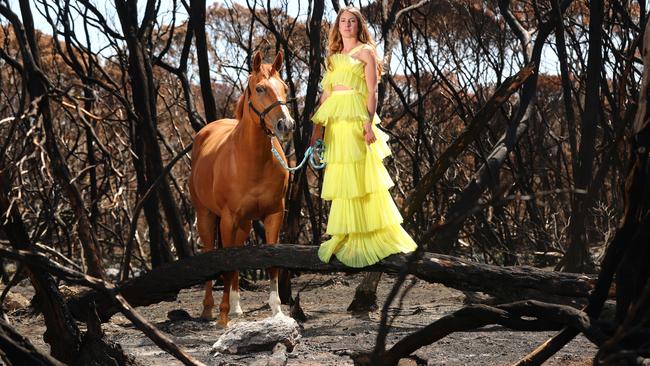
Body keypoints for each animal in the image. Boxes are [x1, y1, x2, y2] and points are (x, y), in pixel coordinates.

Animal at [189, 50, 294, 326]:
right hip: (207, 216)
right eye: (259, 88)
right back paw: (210, 309)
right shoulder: (228, 219)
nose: (286, 125)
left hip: (244, 223)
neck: (251, 160)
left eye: (284, 87)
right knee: (210, 251)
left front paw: (277, 311)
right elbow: (226, 264)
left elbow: (271, 263)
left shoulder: (273, 215)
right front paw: (222, 316)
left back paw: (236, 307)